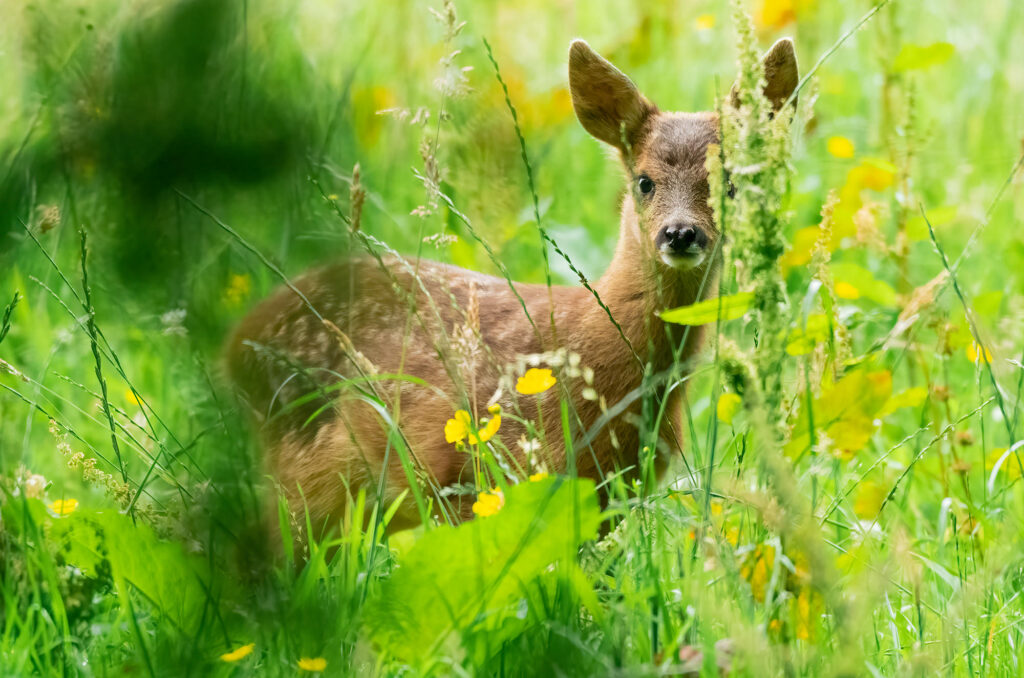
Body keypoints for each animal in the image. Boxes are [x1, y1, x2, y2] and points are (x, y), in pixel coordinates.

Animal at [226, 37, 798, 536]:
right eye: (644, 181)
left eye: (731, 184)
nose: (680, 233)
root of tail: (233, 345)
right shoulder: (474, 474)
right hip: (303, 478)